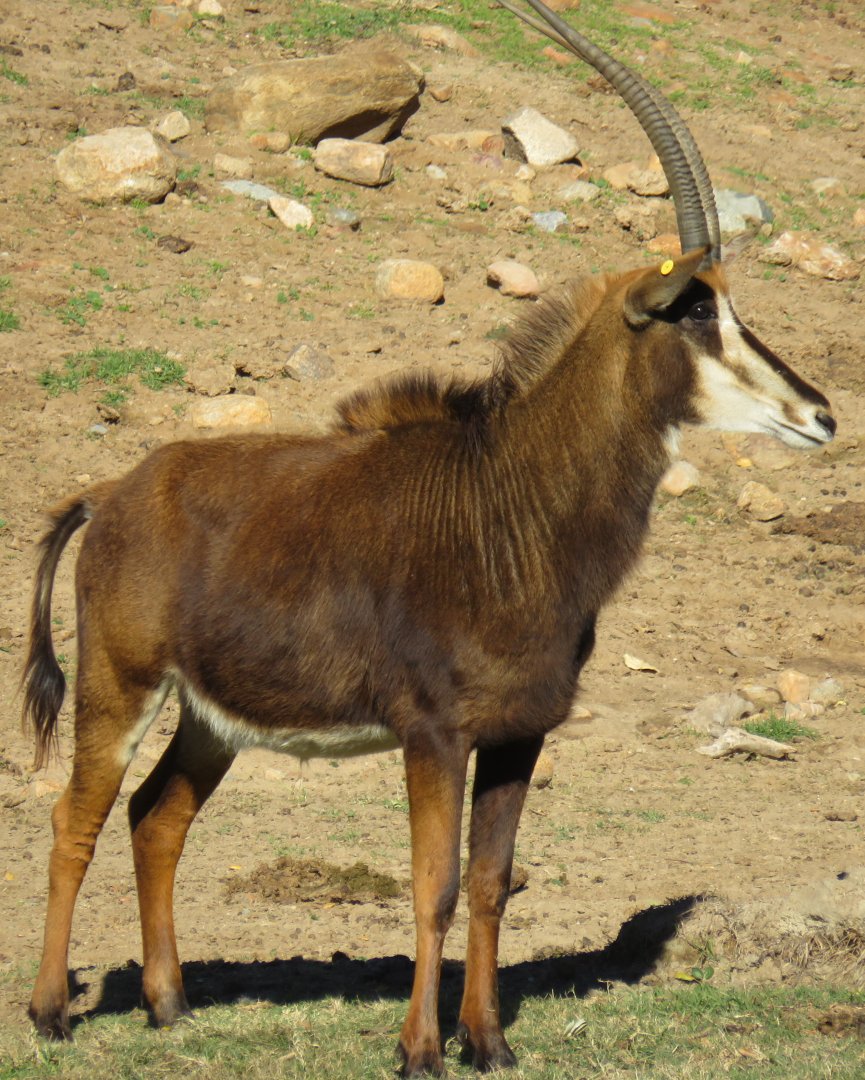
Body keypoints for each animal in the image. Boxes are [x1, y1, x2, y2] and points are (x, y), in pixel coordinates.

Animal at [23, 0, 834, 1074]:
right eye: (693, 311)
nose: (821, 415)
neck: (509, 505)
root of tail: (111, 493)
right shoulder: (434, 735)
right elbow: (433, 889)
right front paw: (419, 1049)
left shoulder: (520, 733)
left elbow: (489, 885)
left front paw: (487, 1042)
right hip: (121, 687)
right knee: (75, 817)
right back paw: (49, 1013)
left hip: (209, 719)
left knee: (158, 817)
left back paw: (169, 1004)